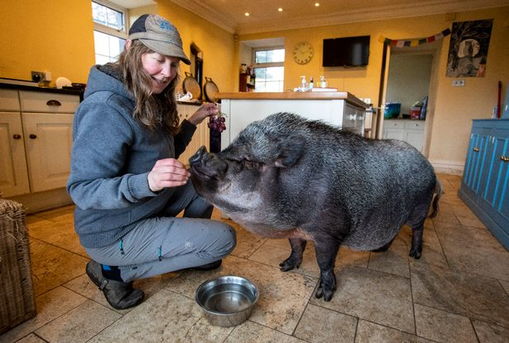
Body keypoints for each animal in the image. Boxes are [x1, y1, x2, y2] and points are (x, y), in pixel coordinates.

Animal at [189, 113, 438, 300]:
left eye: (250, 161)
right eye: (227, 149)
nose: (200, 152)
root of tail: (430, 167)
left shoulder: (329, 232)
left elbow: (324, 262)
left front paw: (324, 296)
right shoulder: (295, 230)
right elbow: (296, 247)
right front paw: (284, 266)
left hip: (420, 208)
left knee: (418, 229)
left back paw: (415, 255)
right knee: (393, 230)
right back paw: (379, 250)